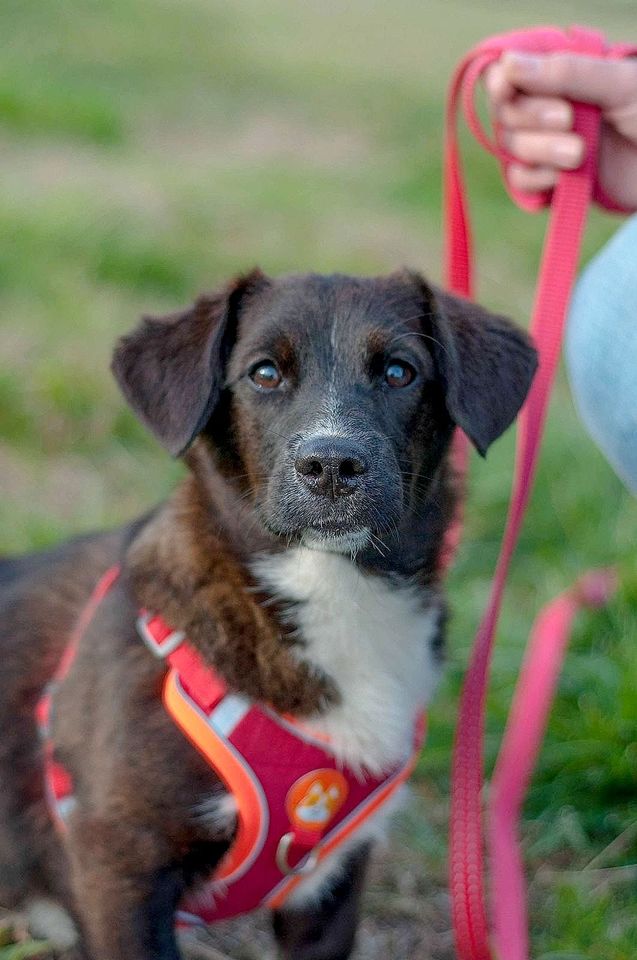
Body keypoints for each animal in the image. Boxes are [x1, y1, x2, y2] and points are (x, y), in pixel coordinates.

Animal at [0, 270, 536, 960]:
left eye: (399, 371)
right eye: (263, 373)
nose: (331, 465)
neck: (334, 593)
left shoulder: (330, 885)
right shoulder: (120, 865)